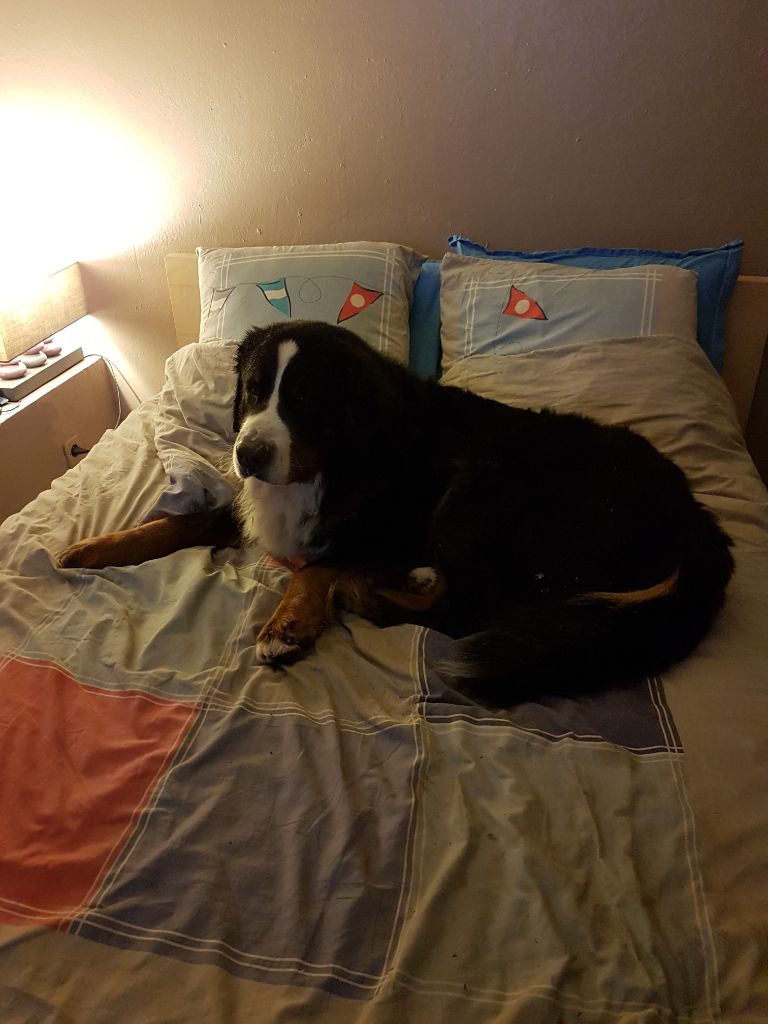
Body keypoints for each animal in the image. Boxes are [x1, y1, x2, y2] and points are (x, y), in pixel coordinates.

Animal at [58, 320, 734, 707]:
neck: (333, 463)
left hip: (481, 487)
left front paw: (288, 623)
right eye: (252, 388)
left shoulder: (387, 525)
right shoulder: (256, 506)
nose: (248, 453)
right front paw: (96, 547)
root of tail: (698, 521)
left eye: (303, 399)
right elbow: (181, 522)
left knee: (466, 609)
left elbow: (317, 566)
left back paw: (371, 589)